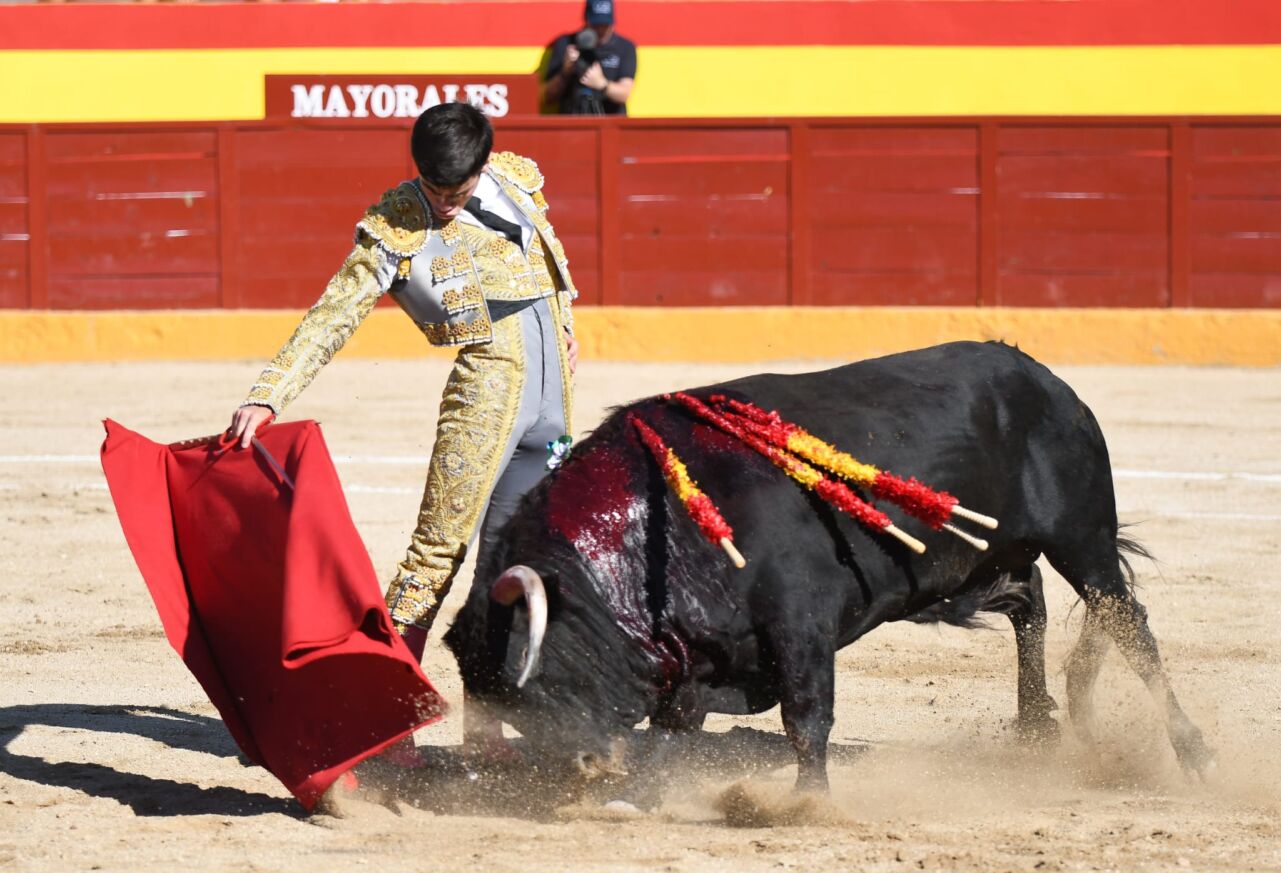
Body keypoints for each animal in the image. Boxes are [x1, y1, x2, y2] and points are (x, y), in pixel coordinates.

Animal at [443, 341, 1214, 800]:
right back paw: (1033, 733)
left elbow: (805, 715)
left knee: (1130, 627)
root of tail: (1047, 380)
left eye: (537, 683)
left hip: (1082, 539)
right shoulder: (702, 658)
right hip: (987, 556)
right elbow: (672, 728)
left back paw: (1193, 753)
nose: (581, 771)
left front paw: (806, 803)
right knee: (1029, 605)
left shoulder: (801, 621)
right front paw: (648, 793)